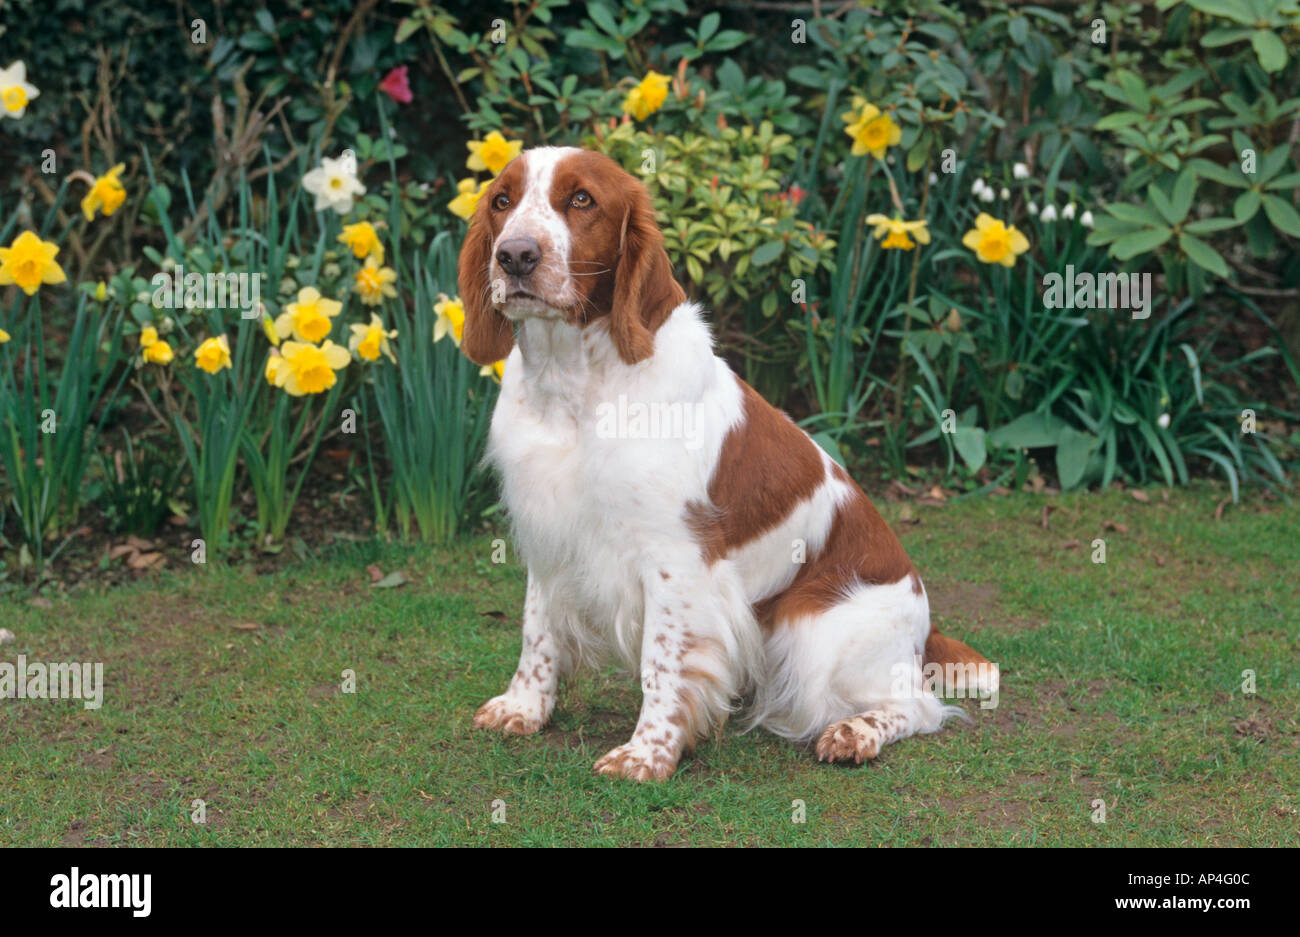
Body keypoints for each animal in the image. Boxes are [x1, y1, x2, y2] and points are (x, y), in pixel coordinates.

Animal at [457, 146, 993, 779]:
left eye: (582, 199)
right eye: (502, 200)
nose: (515, 255)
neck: (574, 384)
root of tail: (924, 627)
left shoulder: (676, 558)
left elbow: (662, 661)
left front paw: (648, 754)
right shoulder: (548, 531)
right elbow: (537, 631)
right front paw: (523, 708)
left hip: (814, 630)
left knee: (917, 705)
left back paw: (853, 733)